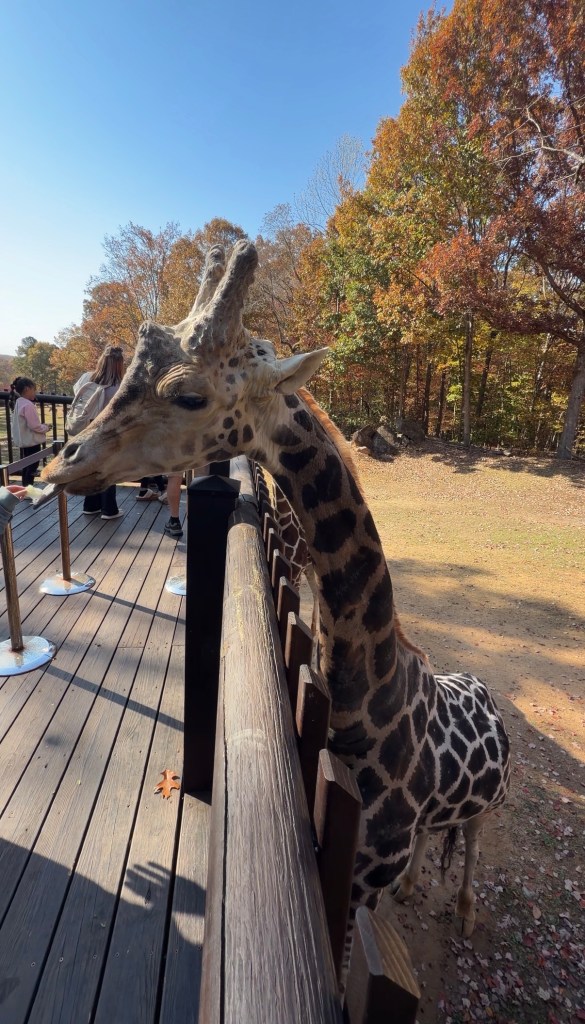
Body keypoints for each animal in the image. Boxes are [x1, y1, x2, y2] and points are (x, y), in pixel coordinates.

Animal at [42, 240, 511, 945]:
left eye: (189, 394)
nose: (60, 460)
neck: (366, 719)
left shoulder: (360, 881)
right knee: (440, 838)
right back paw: (414, 890)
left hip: (488, 806)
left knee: (476, 840)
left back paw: (462, 909)